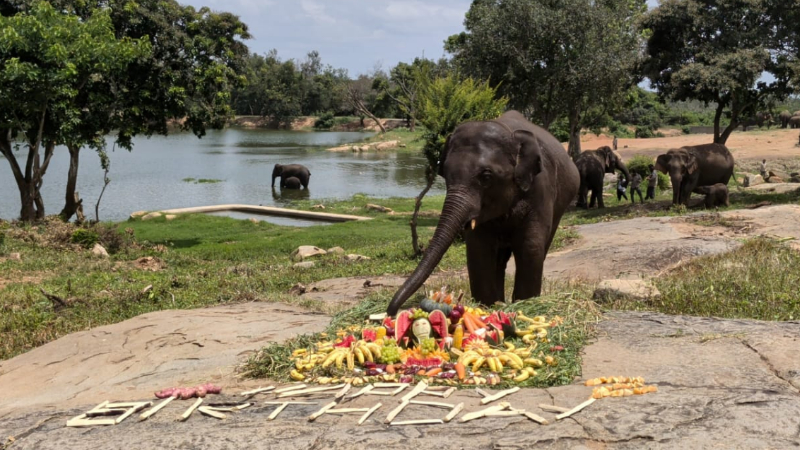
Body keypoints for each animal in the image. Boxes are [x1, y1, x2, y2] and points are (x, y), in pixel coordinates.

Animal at [386, 110, 580, 316]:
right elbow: (479, 248)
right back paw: (500, 301)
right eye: (444, 173)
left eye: (486, 176)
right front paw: (488, 307)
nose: (391, 312)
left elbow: (530, 246)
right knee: (499, 259)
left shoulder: (540, 191)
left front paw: (524, 304)